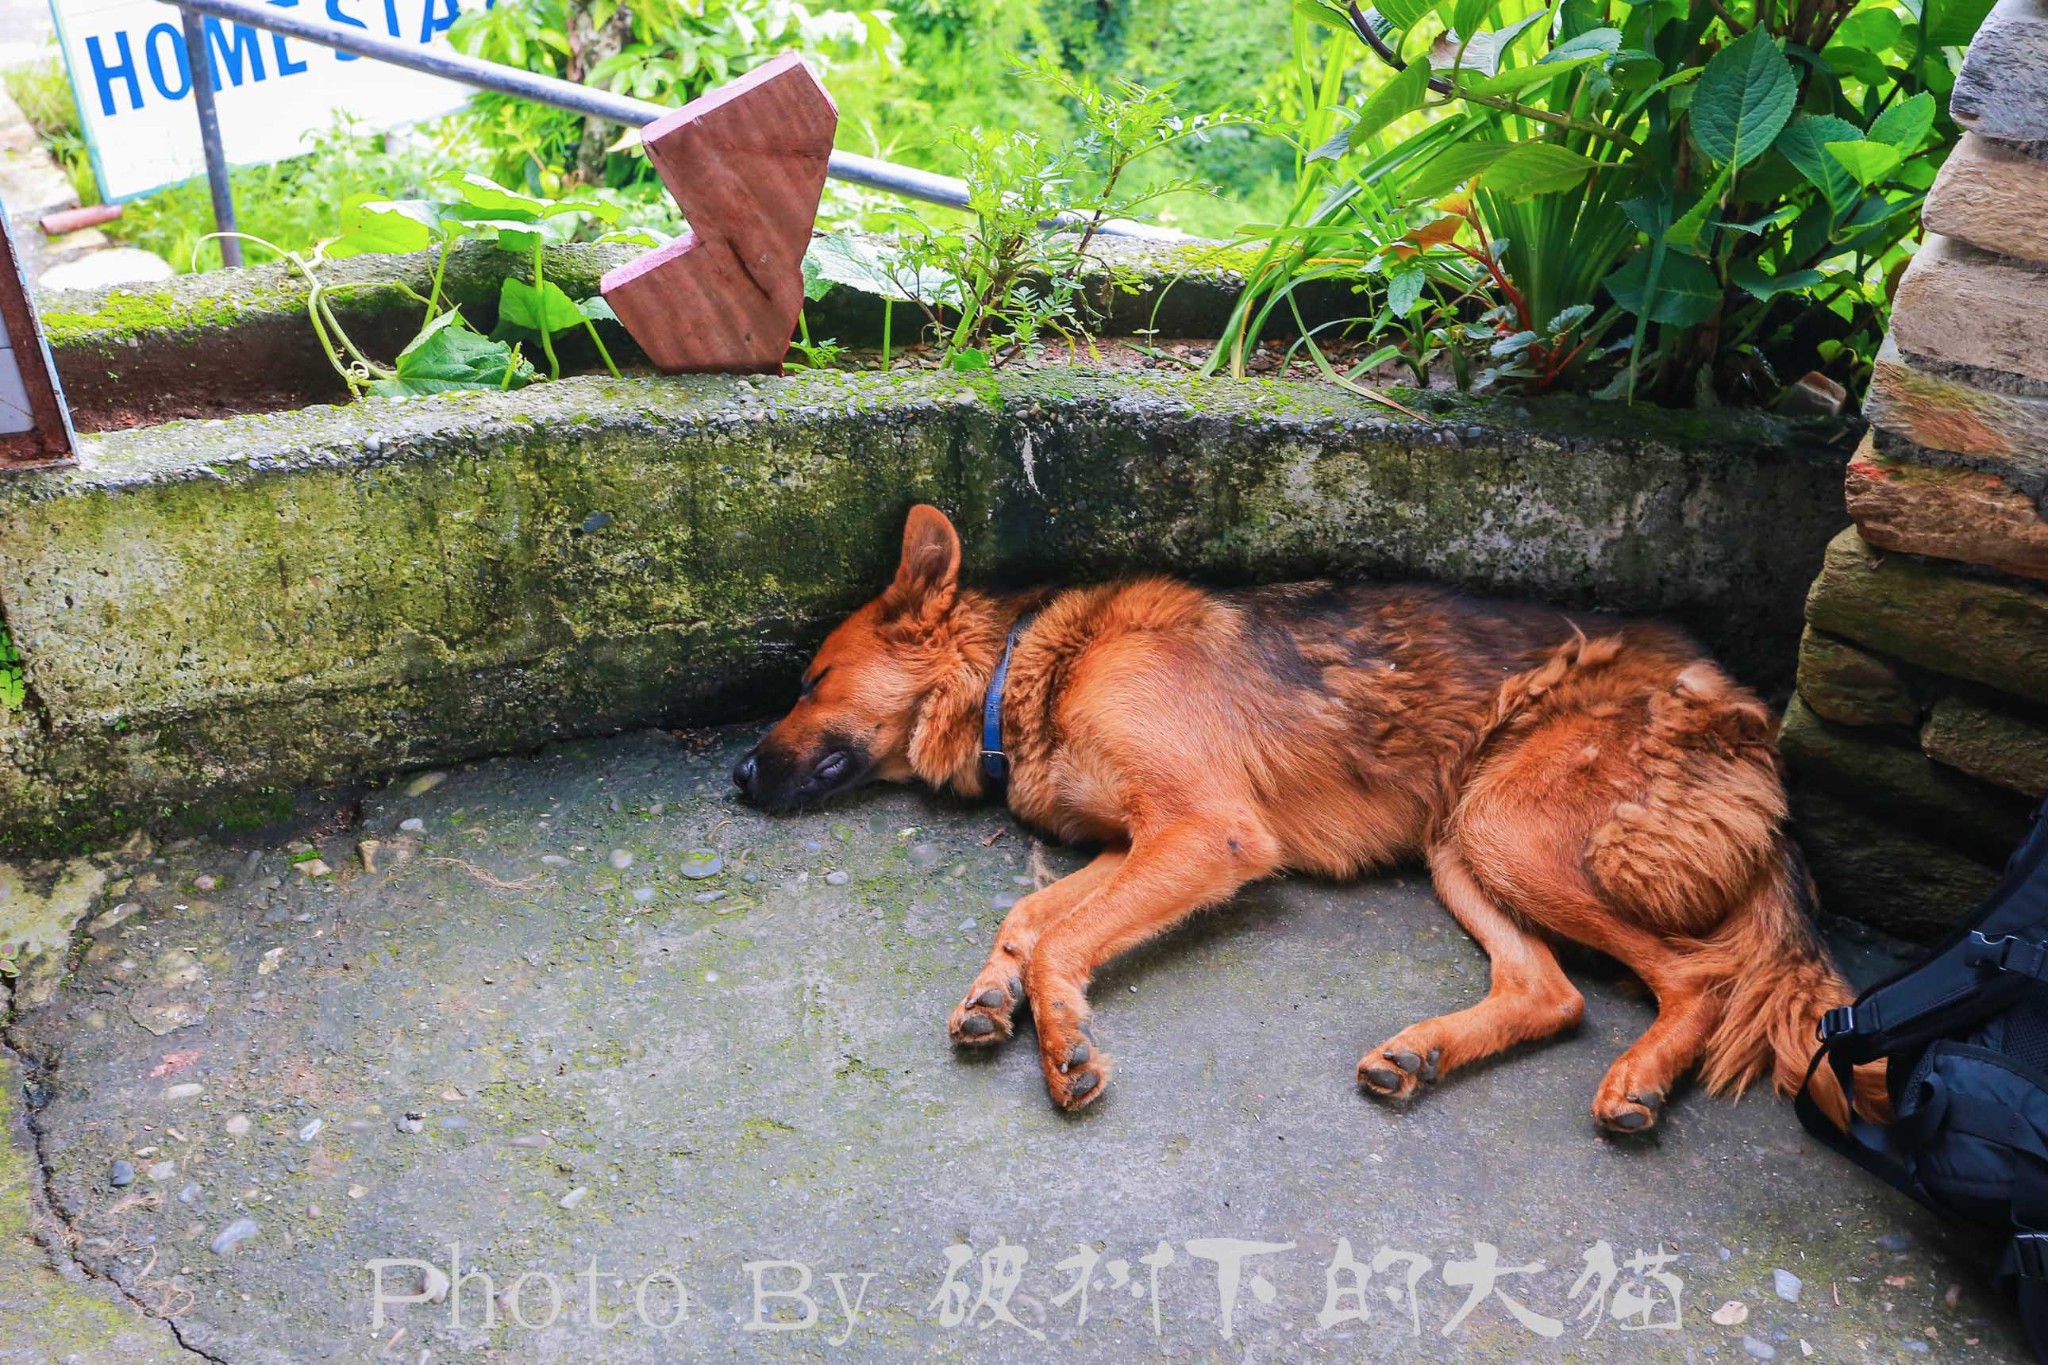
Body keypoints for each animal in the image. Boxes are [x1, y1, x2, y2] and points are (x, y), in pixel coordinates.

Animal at [737, 507, 1884, 1137]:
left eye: (811, 681)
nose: (740, 776)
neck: (1033, 664)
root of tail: (1743, 713)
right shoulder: (1138, 842)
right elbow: (1028, 916)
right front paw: (996, 991)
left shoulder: (1207, 833)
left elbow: (1062, 934)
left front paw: (1062, 1039)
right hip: (1461, 841)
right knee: (1551, 993)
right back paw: (1422, 1053)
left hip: (1510, 829)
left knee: (1699, 977)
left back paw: (1639, 1079)